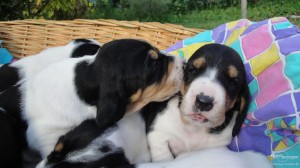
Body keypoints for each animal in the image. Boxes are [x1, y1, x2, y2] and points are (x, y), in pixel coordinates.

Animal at [37, 44, 272, 167]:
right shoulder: (158, 136)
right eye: (193, 70)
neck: (193, 129)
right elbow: (164, 156)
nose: (204, 101)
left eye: (233, 81)